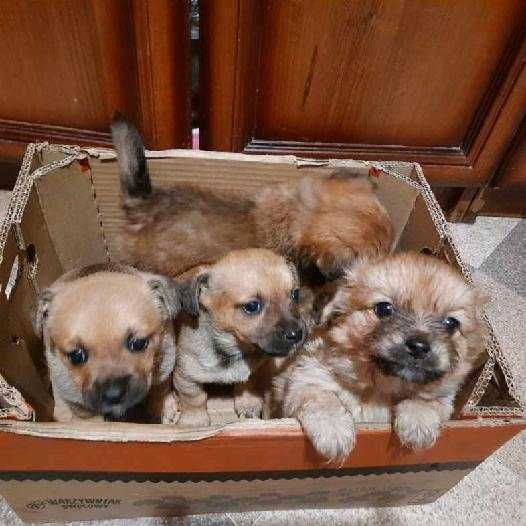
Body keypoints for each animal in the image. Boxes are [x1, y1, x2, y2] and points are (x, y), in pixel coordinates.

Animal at [34, 263, 181, 423]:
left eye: (138, 343)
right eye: (76, 356)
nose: (114, 395)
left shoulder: (166, 363)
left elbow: (160, 389)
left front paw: (165, 409)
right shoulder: (75, 400)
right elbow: (85, 414)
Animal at [174, 248, 305, 427]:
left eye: (295, 294)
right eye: (252, 306)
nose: (296, 334)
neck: (234, 350)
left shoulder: (256, 370)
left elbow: (248, 384)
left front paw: (248, 404)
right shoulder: (186, 377)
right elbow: (194, 399)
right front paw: (195, 420)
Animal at [270, 252, 487, 461]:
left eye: (451, 323)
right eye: (384, 308)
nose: (419, 346)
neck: (378, 390)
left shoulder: (443, 398)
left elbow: (427, 400)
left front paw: (418, 421)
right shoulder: (305, 379)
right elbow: (322, 398)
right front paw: (334, 430)